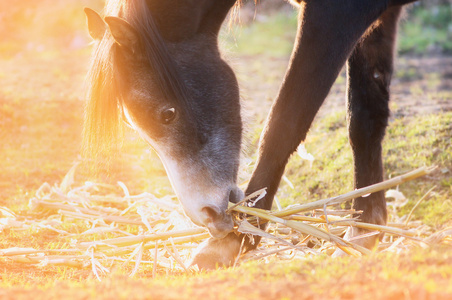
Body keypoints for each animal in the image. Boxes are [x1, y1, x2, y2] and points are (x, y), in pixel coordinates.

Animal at [84, 0, 416, 270]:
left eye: (168, 114)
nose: (207, 216)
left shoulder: (335, 16)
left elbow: (284, 122)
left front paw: (236, 239)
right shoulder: (377, 21)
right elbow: (364, 118)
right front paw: (366, 229)